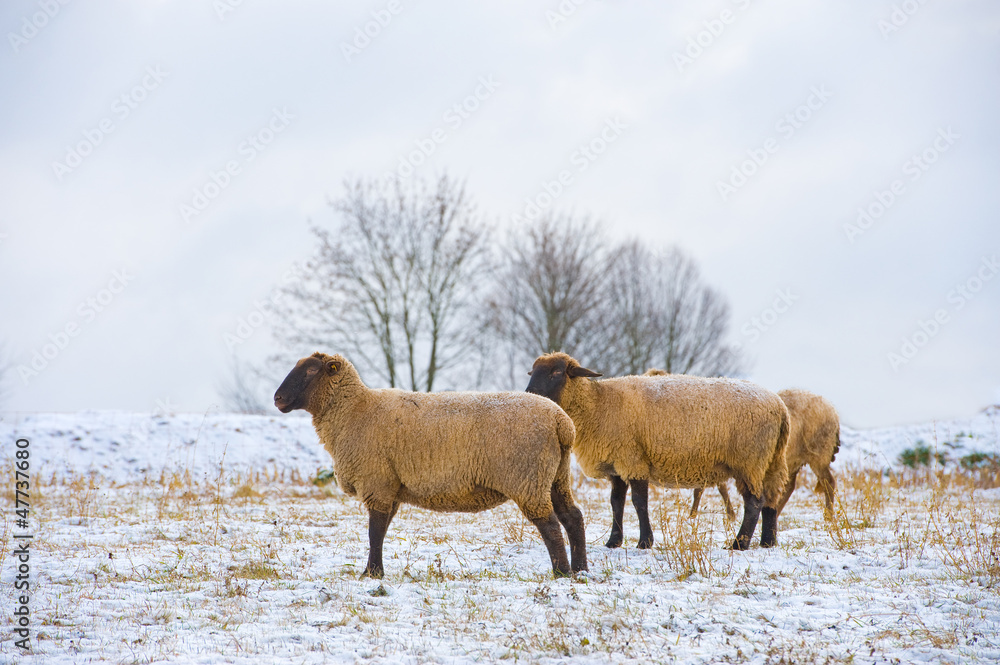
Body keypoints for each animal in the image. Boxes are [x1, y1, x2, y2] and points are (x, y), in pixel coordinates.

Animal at [274, 352, 588, 579]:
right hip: (556, 476)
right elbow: (381, 530)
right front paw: (371, 571)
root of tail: (562, 422)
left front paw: (373, 575)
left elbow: (374, 531)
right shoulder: (390, 486)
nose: (277, 399)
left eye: (311, 370)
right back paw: (581, 570)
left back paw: (561, 573)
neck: (354, 409)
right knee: (572, 517)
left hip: (528, 478)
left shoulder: (377, 482)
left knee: (550, 525)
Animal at [527, 353, 789, 550]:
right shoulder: (617, 466)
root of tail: (779, 407)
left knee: (754, 502)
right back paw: (768, 542)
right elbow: (616, 503)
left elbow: (639, 503)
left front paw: (645, 542)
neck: (598, 404)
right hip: (772, 460)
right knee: (771, 499)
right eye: (534, 371)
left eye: (557, 373)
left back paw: (739, 544)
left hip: (750, 461)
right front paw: (614, 541)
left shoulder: (633, 460)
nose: (530, 395)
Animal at [688, 388, 840, 522]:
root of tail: (832, 410)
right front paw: (694, 515)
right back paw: (775, 513)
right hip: (793, 460)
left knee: (828, 482)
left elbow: (712, 489)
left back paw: (829, 517)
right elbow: (706, 489)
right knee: (790, 487)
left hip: (819, 454)